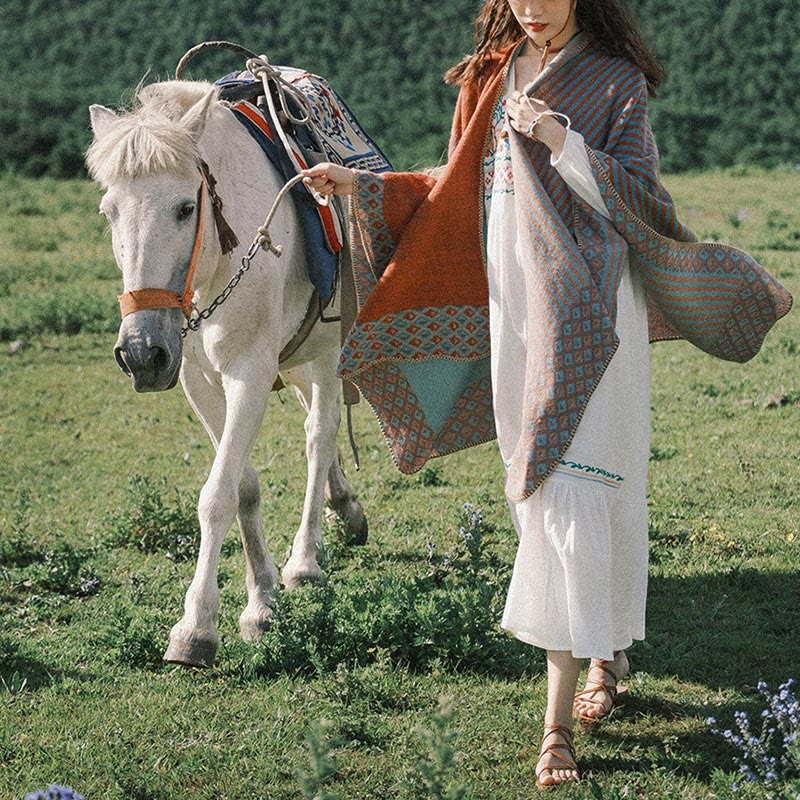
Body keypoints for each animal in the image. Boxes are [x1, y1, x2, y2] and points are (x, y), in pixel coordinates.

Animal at [86, 79, 368, 668]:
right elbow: (242, 486)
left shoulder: (250, 374)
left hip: (327, 354)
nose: (141, 353)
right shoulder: (197, 381)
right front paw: (262, 598)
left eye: (185, 207)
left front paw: (197, 628)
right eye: (108, 211)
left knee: (319, 435)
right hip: (298, 359)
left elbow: (216, 496)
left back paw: (306, 561)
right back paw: (344, 508)